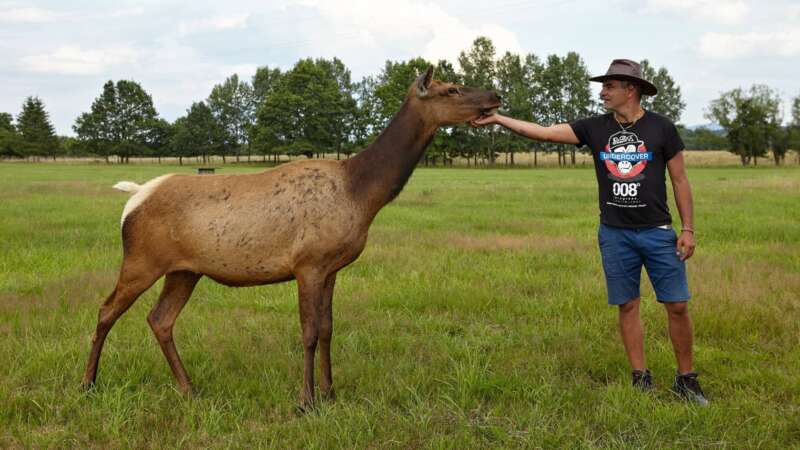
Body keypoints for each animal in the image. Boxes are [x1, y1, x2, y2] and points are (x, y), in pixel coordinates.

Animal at [83, 66, 500, 408]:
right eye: (452, 89)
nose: (495, 95)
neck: (362, 194)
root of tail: (132, 199)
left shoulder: (332, 268)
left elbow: (329, 328)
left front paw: (331, 393)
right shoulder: (308, 263)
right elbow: (310, 332)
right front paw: (306, 400)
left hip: (184, 270)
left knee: (160, 319)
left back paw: (188, 388)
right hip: (141, 259)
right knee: (106, 310)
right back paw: (88, 383)